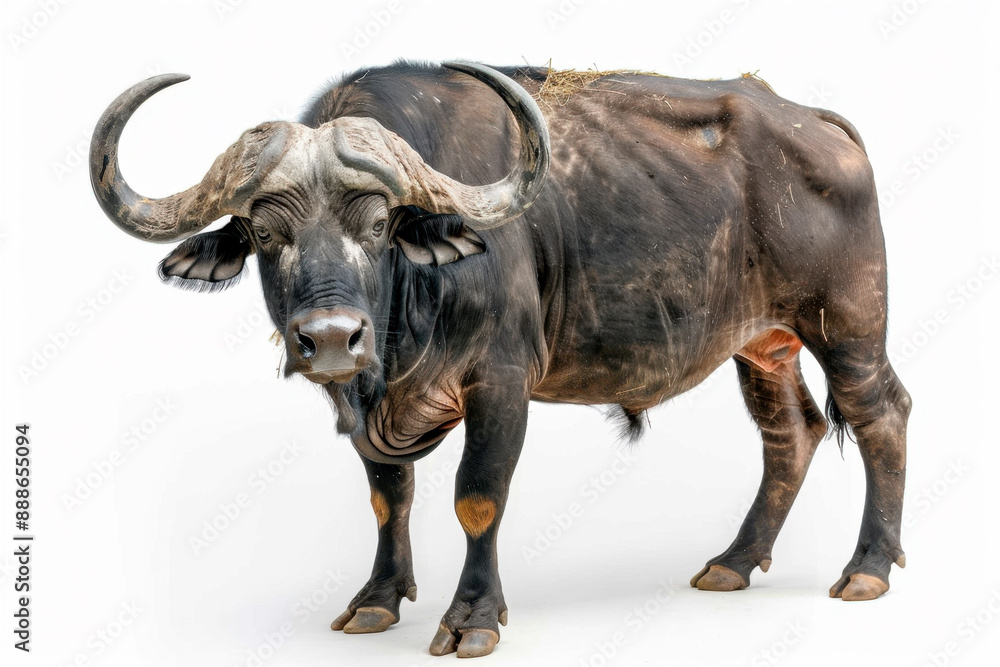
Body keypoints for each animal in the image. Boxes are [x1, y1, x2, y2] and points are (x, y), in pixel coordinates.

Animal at [90, 61, 910, 658]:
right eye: (264, 233)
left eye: (380, 223)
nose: (329, 337)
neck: (404, 321)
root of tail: (816, 124)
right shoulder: (365, 406)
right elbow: (388, 495)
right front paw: (377, 599)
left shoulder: (502, 383)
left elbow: (477, 496)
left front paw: (472, 616)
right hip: (763, 344)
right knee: (791, 433)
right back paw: (734, 561)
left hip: (849, 326)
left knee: (881, 416)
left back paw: (868, 567)